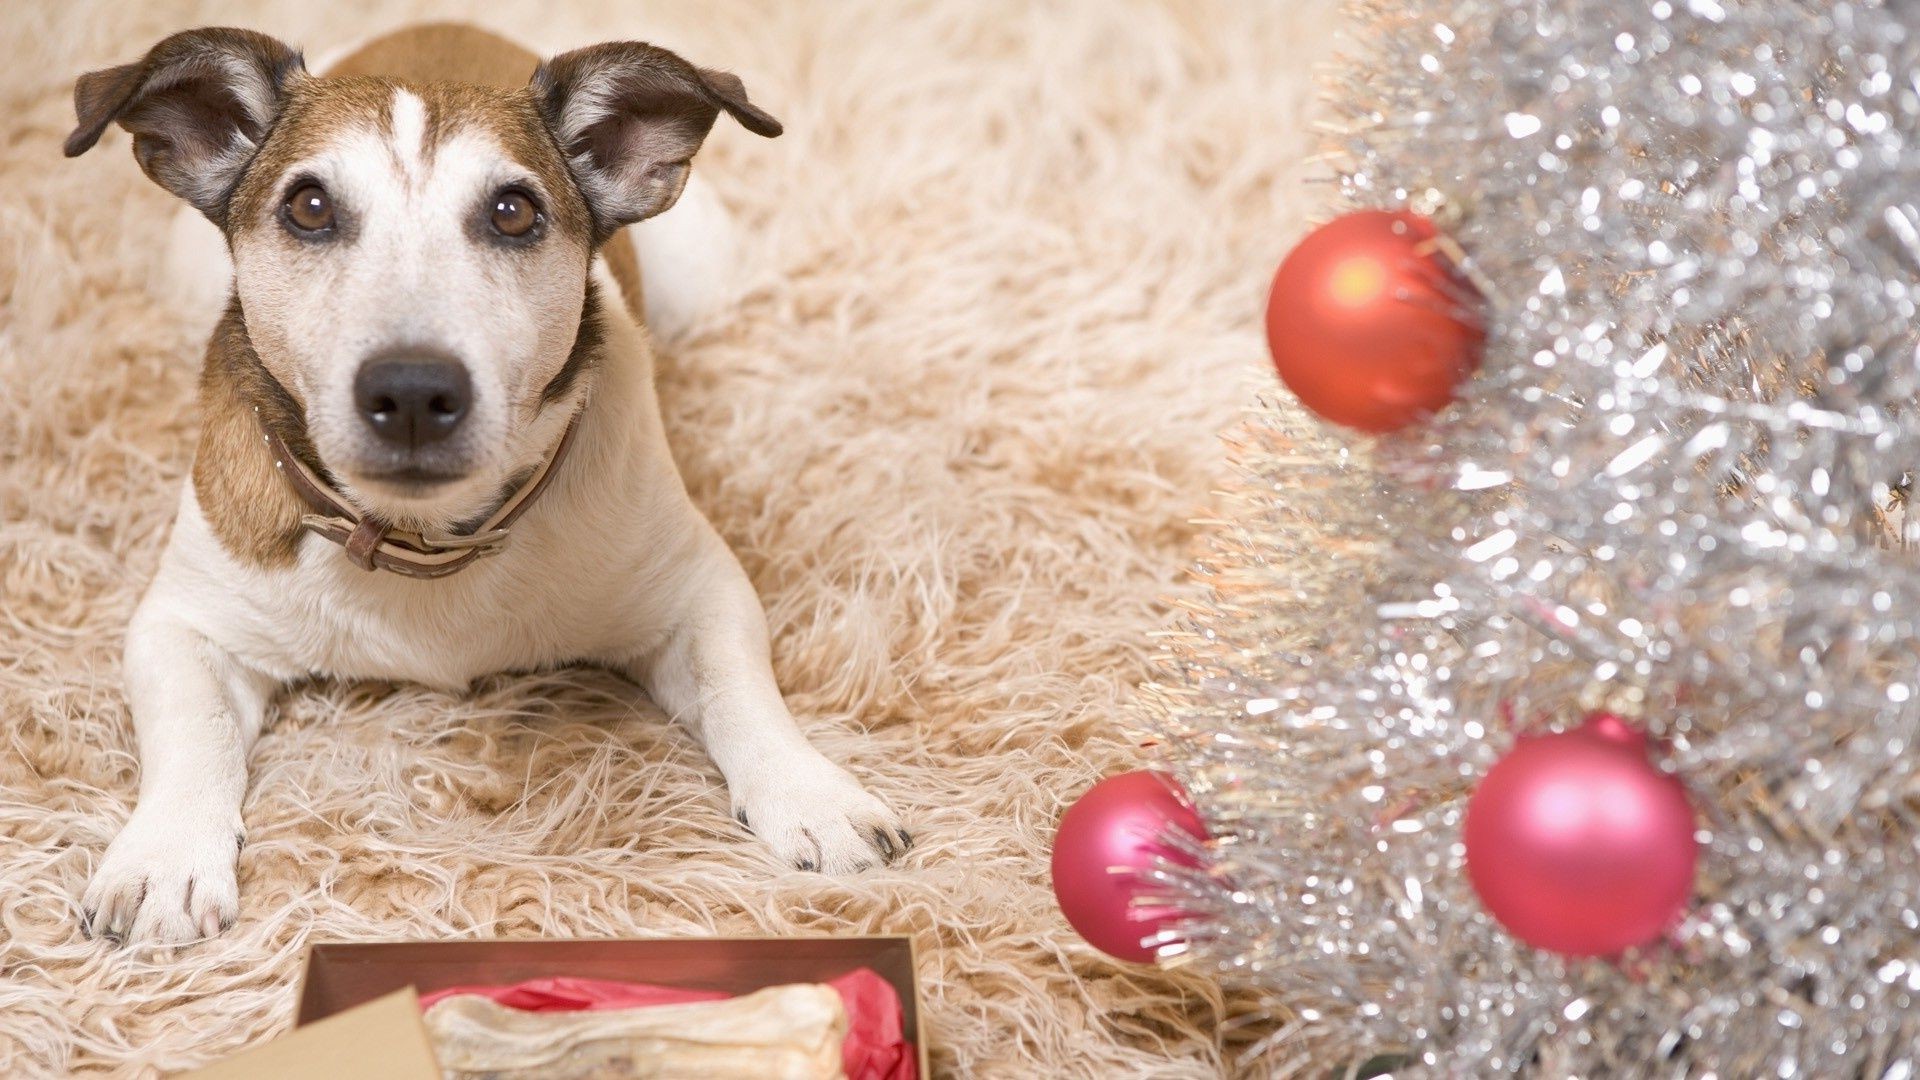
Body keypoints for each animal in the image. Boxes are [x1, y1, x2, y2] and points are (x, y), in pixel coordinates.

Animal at [63, 18, 910, 941]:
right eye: (309, 207)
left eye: (513, 211)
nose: (411, 390)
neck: (427, 540)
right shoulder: (184, 622)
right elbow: (194, 725)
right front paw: (166, 853)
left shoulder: (698, 586)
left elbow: (739, 687)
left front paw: (809, 791)